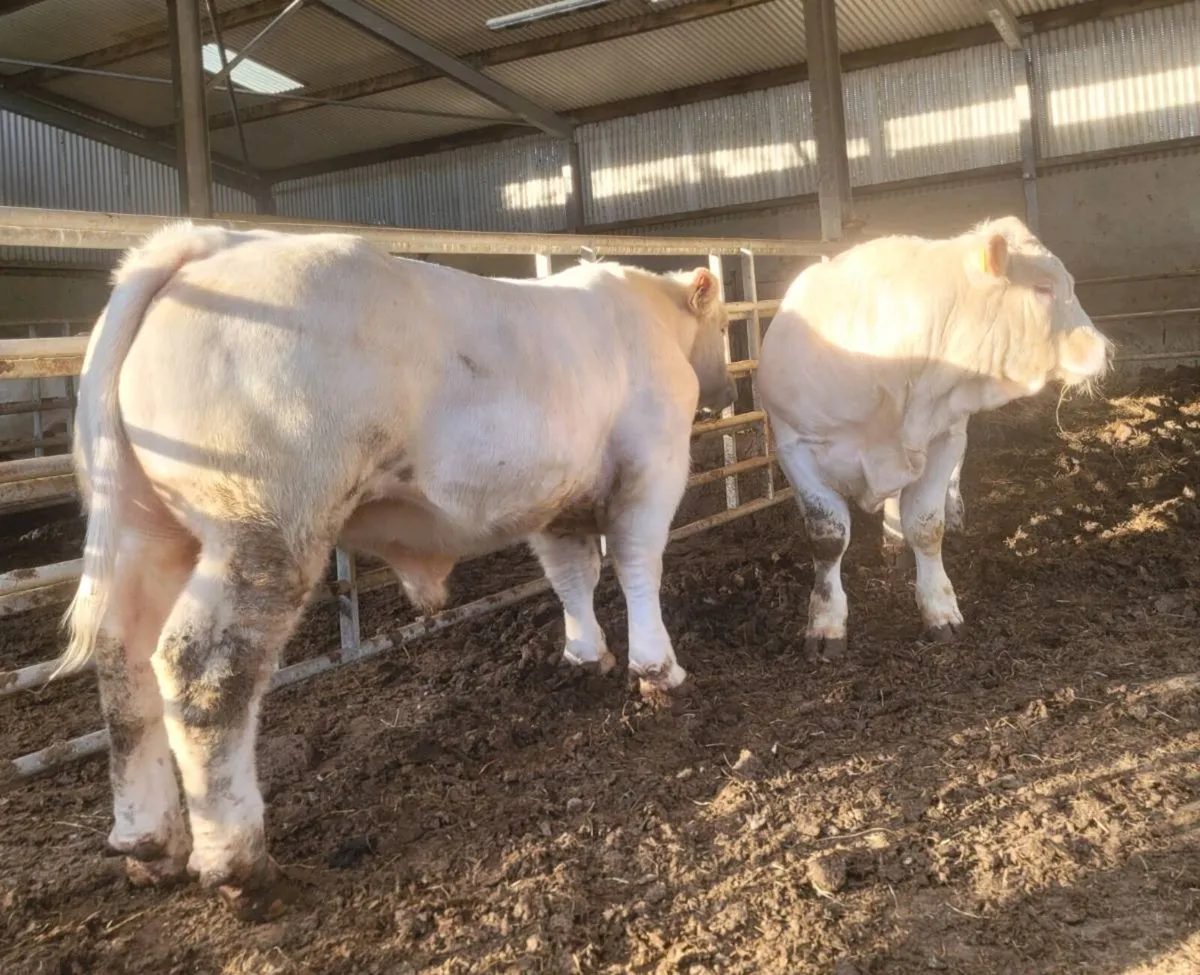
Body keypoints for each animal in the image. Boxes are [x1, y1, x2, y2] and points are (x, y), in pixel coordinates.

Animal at [56, 222, 735, 921]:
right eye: (726, 326)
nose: (731, 391)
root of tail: (208, 241)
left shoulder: (559, 496)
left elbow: (572, 573)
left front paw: (584, 655)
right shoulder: (653, 462)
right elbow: (636, 561)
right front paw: (657, 670)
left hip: (147, 530)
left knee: (123, 657)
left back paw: (146, 840)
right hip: (263, 525)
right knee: (203, 671)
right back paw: (239, 862)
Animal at [758, 216, 1111, 658]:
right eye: (1043, 288)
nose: (1103, 350)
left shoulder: (944, 438)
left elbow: (927, 526)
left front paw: (940, 609)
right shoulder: (795, 448)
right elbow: (828, 536)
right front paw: (825, 624)